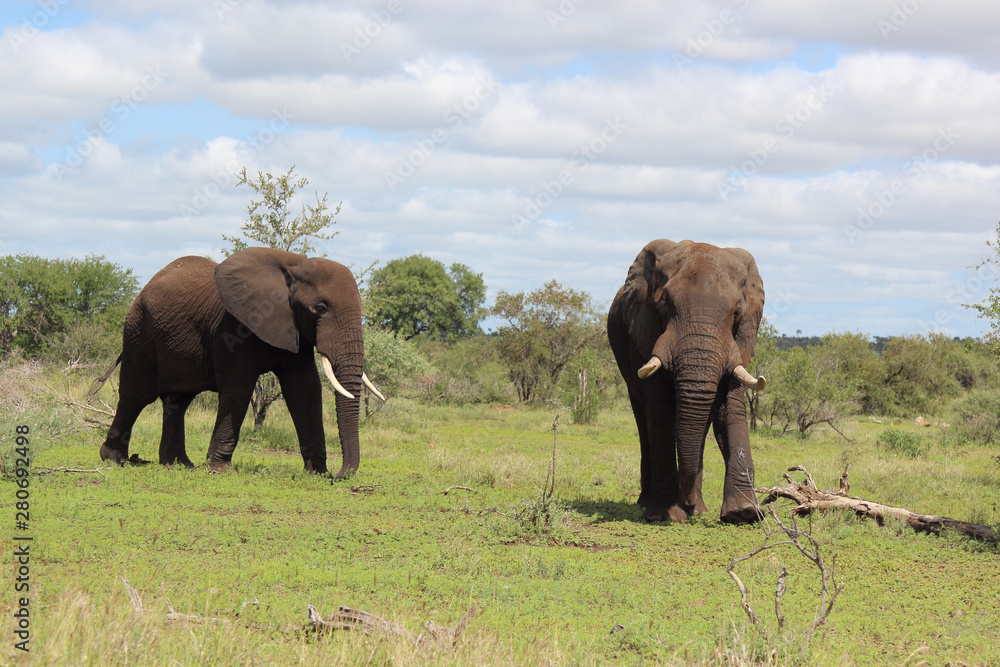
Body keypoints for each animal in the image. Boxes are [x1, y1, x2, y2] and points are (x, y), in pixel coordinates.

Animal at [94, 248, 382, 478]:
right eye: (320, 308)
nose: (338, 474)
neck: (292, 266)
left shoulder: (294, 329)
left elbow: (305, 390)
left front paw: (316, 473)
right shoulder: (233, 326)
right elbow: (238, 388)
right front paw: (219, 470)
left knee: (178, 401)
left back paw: (178, 464)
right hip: (138, 332)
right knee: (136, 394)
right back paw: (115, 459)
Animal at [608, 240, 764, 528]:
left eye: (737, 312)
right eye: (665, 306)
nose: (688, 506)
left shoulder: (740, 340)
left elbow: (730, 409)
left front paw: (744, 513)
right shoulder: (644, 332)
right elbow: (660, 412)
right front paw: (664, 515)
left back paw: (698, 509)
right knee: (644, 422)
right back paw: (651, 505)